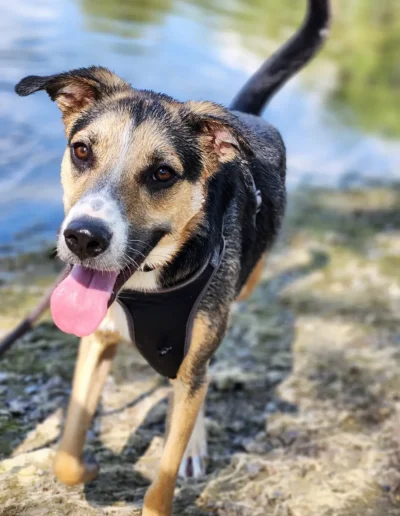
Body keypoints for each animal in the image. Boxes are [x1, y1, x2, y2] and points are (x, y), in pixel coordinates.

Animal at [14, 2, 330, 512]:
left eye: (162, 173)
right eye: (81, 151)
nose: (83, 238)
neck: (148, 282)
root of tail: (242, 115)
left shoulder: (191, 352)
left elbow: (162, 482)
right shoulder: (96, 343)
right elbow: (66, 454)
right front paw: (87, 467)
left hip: (240, 292)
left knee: (199, 377)